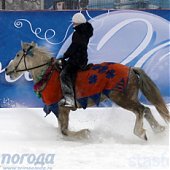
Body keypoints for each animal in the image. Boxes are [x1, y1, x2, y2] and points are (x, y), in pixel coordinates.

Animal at [4, 42, 169, 141]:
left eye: (18, 55)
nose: (7, 70)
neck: (48, 75)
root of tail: (131, 69)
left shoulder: (62, 109)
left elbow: (64, 131)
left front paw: (85, 133)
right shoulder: (59, 111)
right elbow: (61, 130)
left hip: (122, 98)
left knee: (140, 110)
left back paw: (140, 132)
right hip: (129, 97)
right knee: (146, 109)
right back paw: (159, 129)